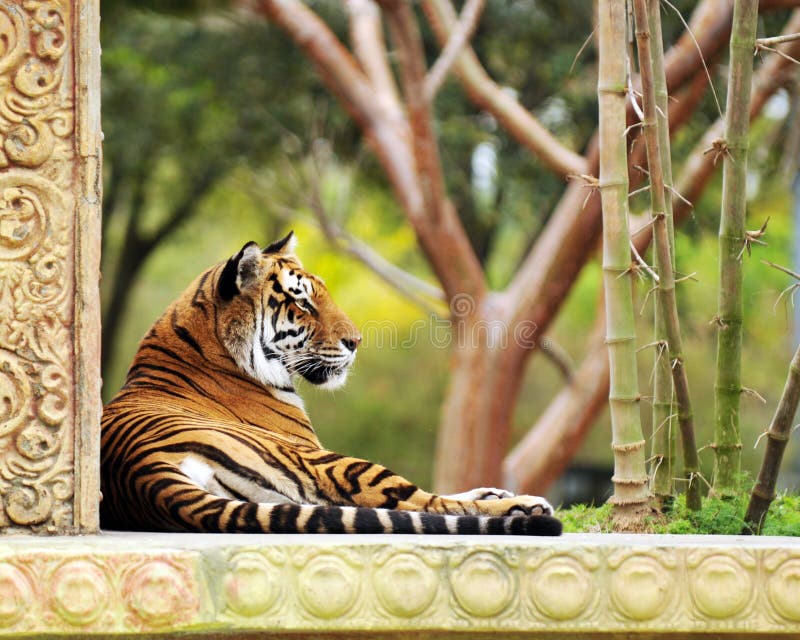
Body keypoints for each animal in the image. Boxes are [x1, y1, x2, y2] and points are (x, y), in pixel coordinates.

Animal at [100, 234, 560, 536]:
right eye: (302, 301)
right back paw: (526, 506)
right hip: (335, 463)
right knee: (426, 502)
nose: (356, 341)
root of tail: (144, 474)